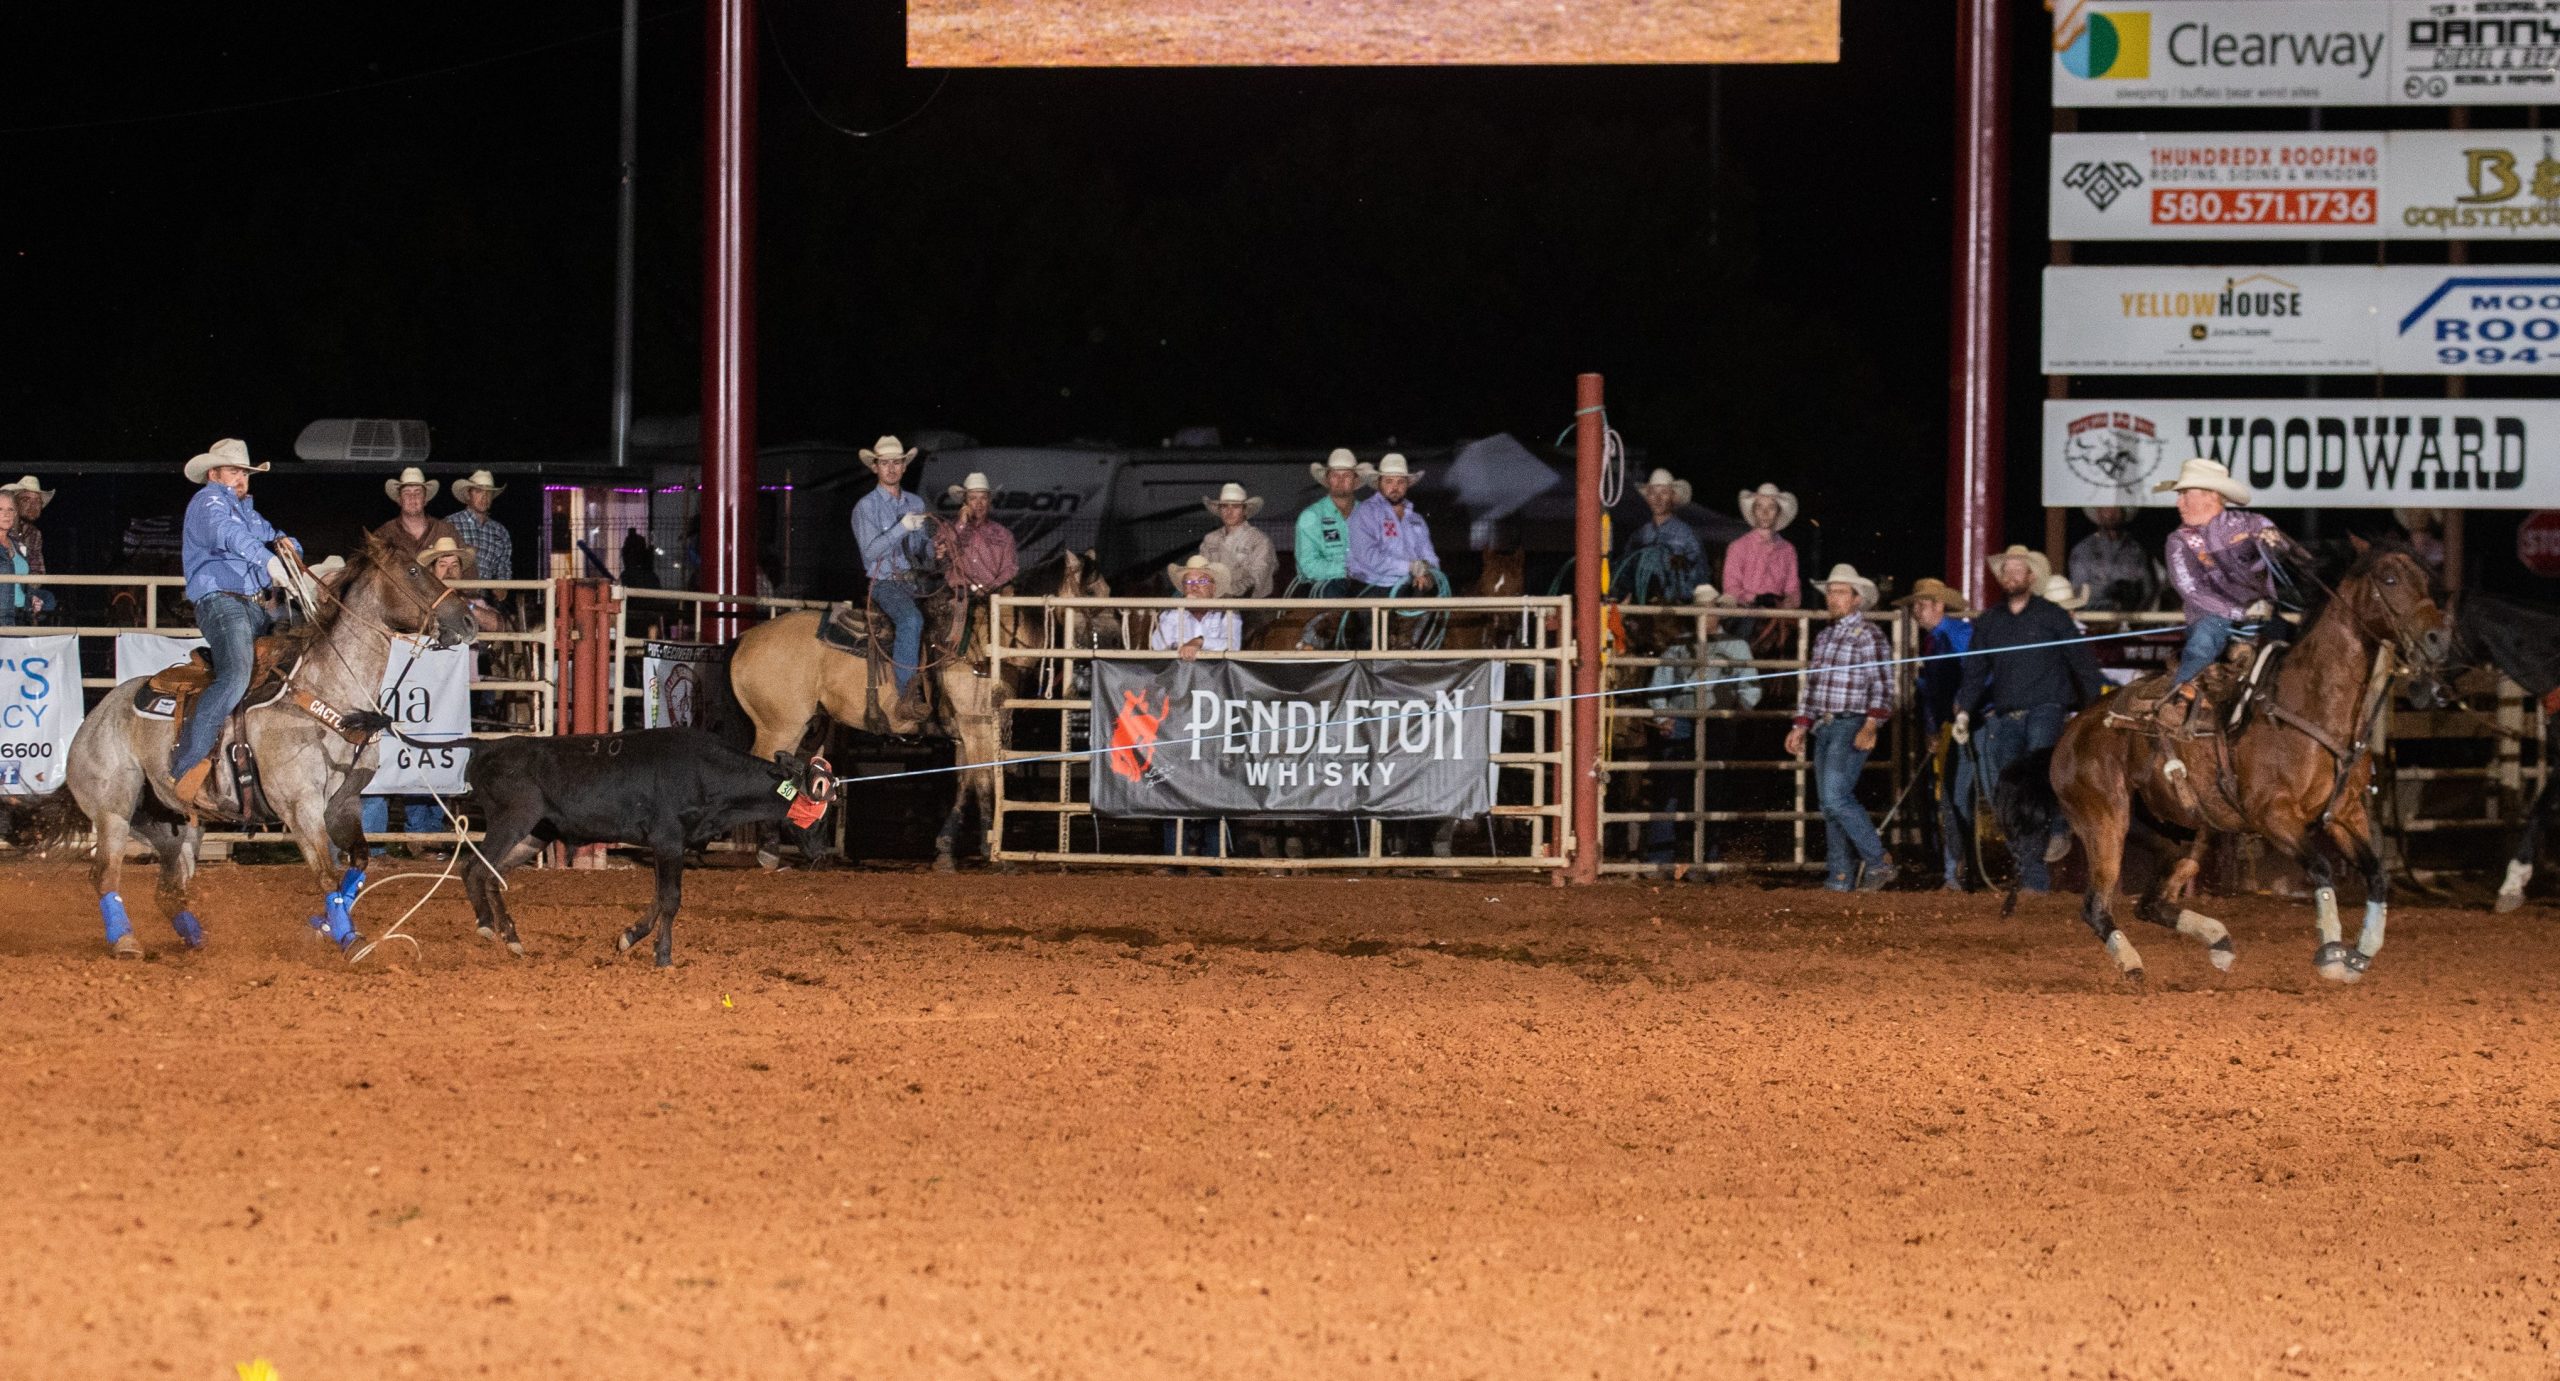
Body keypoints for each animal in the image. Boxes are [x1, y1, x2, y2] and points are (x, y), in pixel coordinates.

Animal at [68, 540, 481, 963]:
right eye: (413, 571)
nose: (468, 620)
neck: (326, 691)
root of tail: (96, 715)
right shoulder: (300, 806)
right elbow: (326, 873)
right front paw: (349, 939)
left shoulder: (344, 802)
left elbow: (359, 863)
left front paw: (322, 926)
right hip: (114, 811)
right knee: (104, 874)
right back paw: (125, 941)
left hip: (175, 825)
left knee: (168, 889)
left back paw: (198, 939)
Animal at [2007, 545, 2447, 988]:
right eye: (2390, 579)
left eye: (2424, 580)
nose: (2437, 638)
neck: (2309, 704)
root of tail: (2069, 736)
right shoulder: (2273, 816)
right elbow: (2322, 868)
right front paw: (2331, 955)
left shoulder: (2345, 812)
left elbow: (2377, 874)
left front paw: (2362, 953)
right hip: (2105, 823)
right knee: (2096, 905)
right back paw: (2132, 963)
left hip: (2179, 834)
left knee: (2150, 904)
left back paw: (2218, 941)